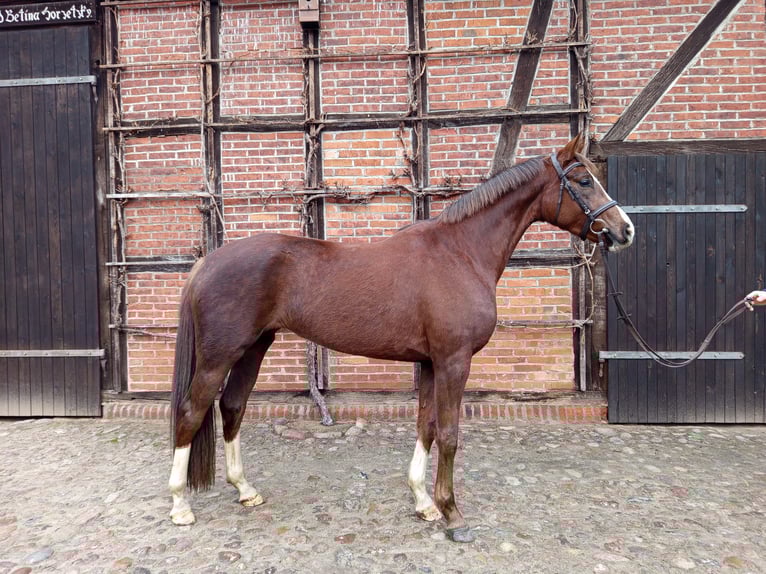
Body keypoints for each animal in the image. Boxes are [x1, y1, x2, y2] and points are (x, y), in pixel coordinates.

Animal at [167, 133, 635, 542]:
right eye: (583, 180)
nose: (625, 230)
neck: (461, 252)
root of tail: (208, 262)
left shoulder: (430, 363)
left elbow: (425, 426)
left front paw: (424, 502)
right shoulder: (454, 361)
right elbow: (449, 433)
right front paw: (452, 513)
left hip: (254, 348)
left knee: (232, 407)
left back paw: (245, 490)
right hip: (220, 356)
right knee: (191, 411)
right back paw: (179, 506)